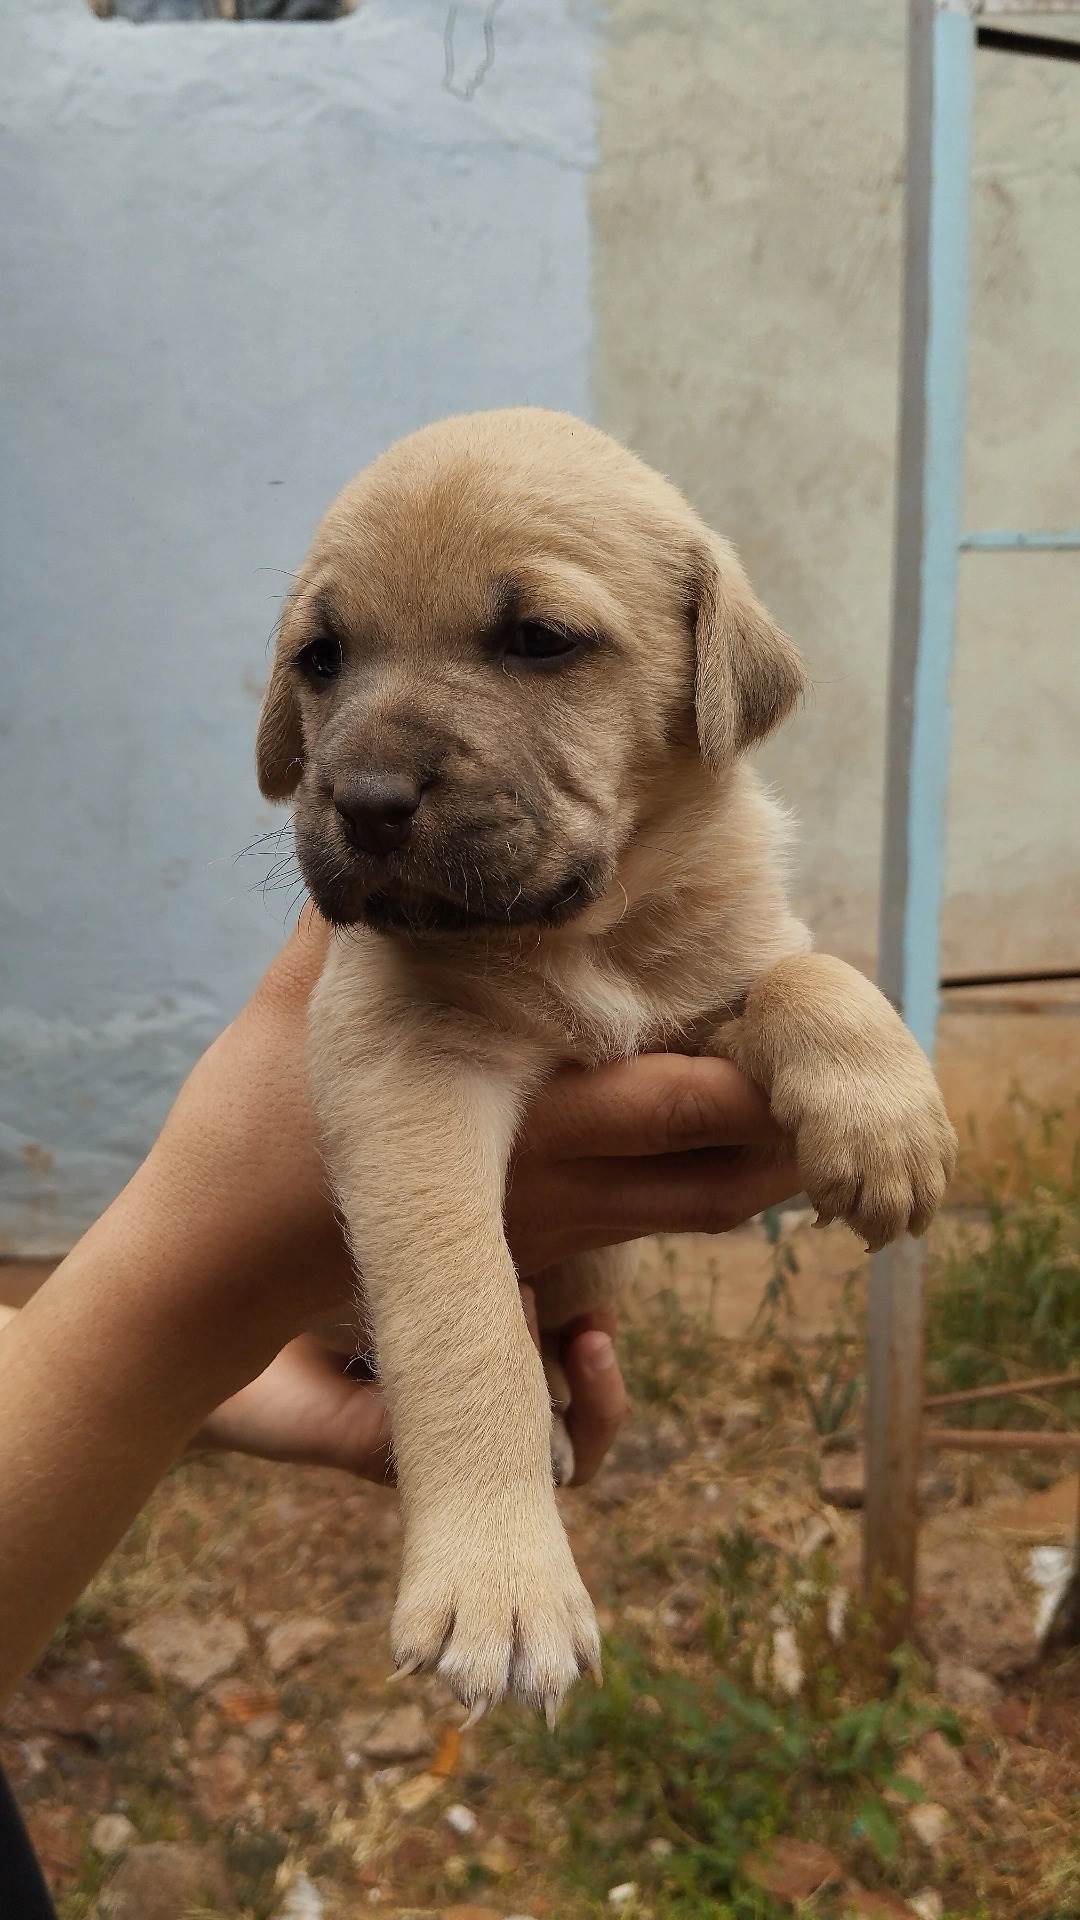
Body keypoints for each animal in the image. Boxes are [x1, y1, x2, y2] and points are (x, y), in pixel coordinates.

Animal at [255, 407, 956, 1726]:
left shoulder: (709, 986)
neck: (586, 933)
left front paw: (884, 1115)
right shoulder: (404, 1071)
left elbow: (807, 971)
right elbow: (465, 1316)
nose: (365, 800)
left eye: (538, 640)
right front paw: (499, 1577)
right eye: (321, 660)